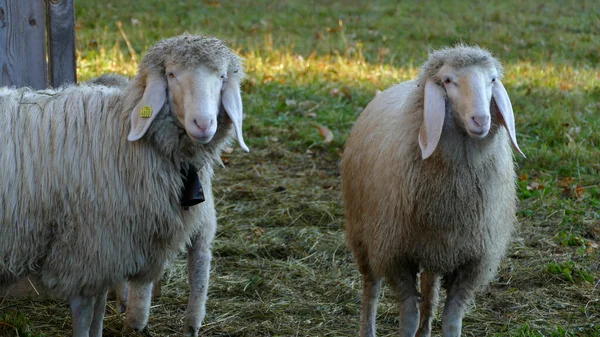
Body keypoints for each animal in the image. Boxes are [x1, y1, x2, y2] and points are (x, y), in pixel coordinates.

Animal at [0, 33, 248, 336]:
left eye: (222, 76)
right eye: (171, 74)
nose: (203, 124)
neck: (123, 129)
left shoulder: (108, 251)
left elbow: (98, 310)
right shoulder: (89, 246)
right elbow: (85, 311)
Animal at [342, 45, 524, 336]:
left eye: (492, 79)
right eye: (448, 80)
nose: (481, 119)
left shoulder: (471, 261)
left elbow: (451, 319)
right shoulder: (396, 254)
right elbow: (408, 314)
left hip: (434, 247)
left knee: (430, 289)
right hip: (364, 233)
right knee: (371, 287)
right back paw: (367, 328)